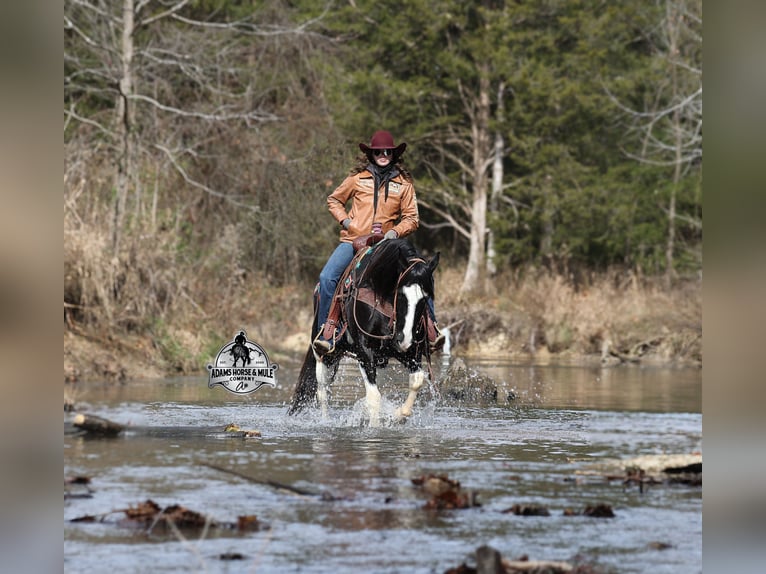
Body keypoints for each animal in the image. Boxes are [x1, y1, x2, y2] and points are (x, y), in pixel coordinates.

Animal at [288, 238, 439, 426]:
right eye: (401, 294)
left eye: (426, 298)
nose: (404, 339)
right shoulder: (364, 351)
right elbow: (374, 397)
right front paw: (375, 427)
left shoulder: (410, 353)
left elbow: (417, 381)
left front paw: (398, 415)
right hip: (325, 355)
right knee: (323, 392)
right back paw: (326, 421)